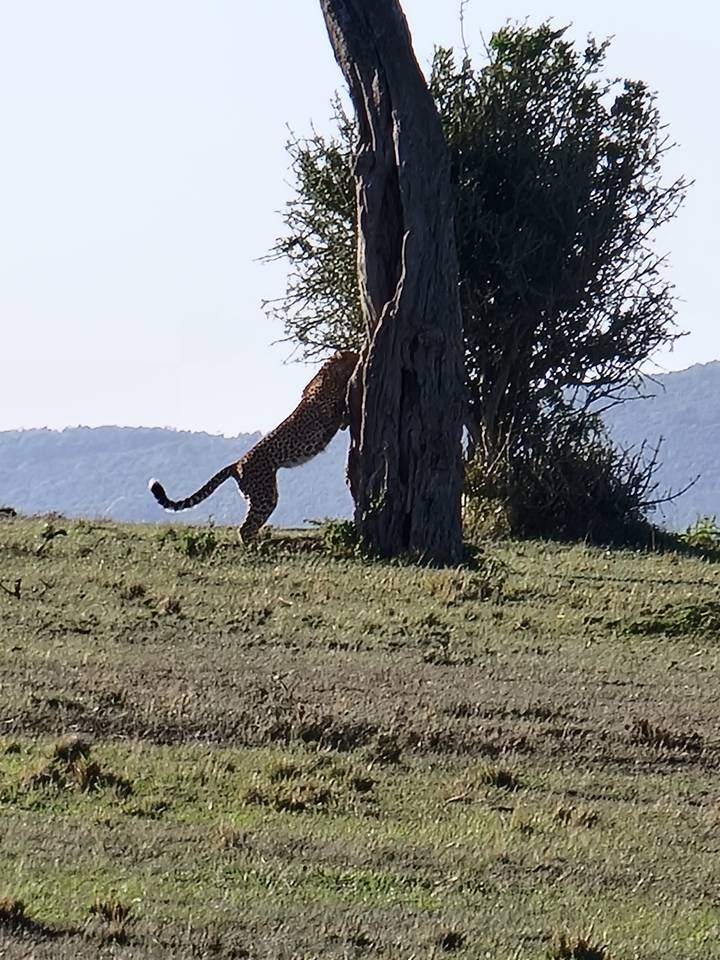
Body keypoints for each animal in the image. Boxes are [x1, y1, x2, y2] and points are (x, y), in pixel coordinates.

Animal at [148, 350, 359, 540]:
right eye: (352, 353)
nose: (358, 354)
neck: (329, 373)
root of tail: (237, 463)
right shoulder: (330, 414)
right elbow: (342, 409)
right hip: (264, 494)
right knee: (246, 527)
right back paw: (257, 548)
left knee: (250, 526)